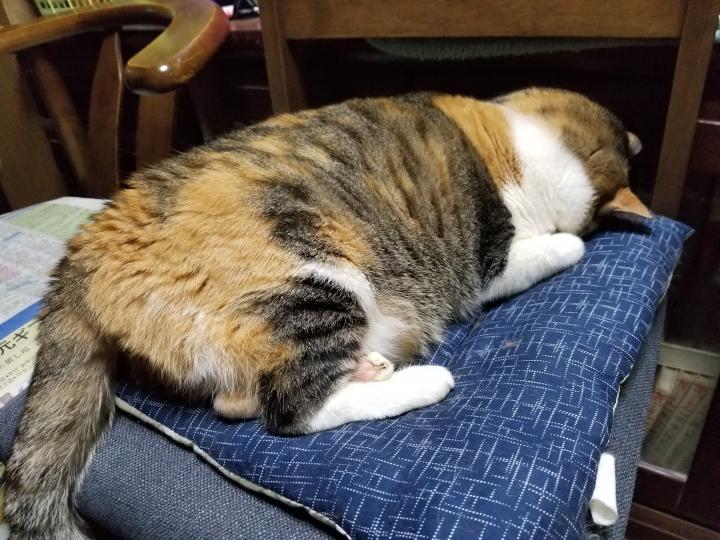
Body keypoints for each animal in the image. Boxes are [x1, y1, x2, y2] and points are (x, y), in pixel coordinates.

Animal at [4, 88, 650, 538]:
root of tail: (85, 249)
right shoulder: (493, 258)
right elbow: (562, 247)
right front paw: (572, 242)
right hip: (313, 278)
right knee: (289, 410)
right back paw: (418, 381)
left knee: (235, 400)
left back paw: (370, 366)